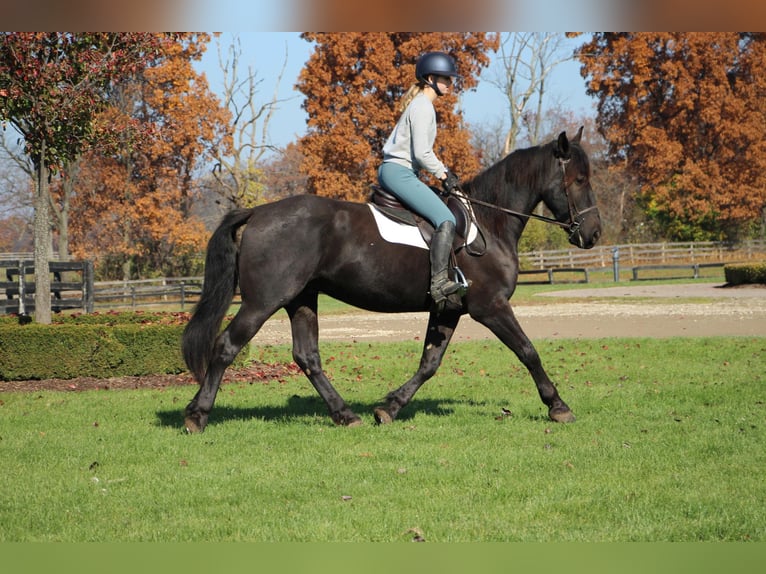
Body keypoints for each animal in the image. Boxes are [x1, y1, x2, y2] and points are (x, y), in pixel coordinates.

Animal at [183, 129, 604, 432]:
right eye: (579, 179)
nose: (593, 234)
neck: (489, 222)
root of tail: (258, 212)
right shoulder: (491, 307)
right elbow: (528, 351)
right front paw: (558, 406)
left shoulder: (448, 310)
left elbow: (429, 363)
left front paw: (389, 408)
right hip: (263, 302)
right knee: (226, 346)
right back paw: (197, 415)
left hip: (300, 299)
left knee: (307, 356)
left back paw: (345, 415)